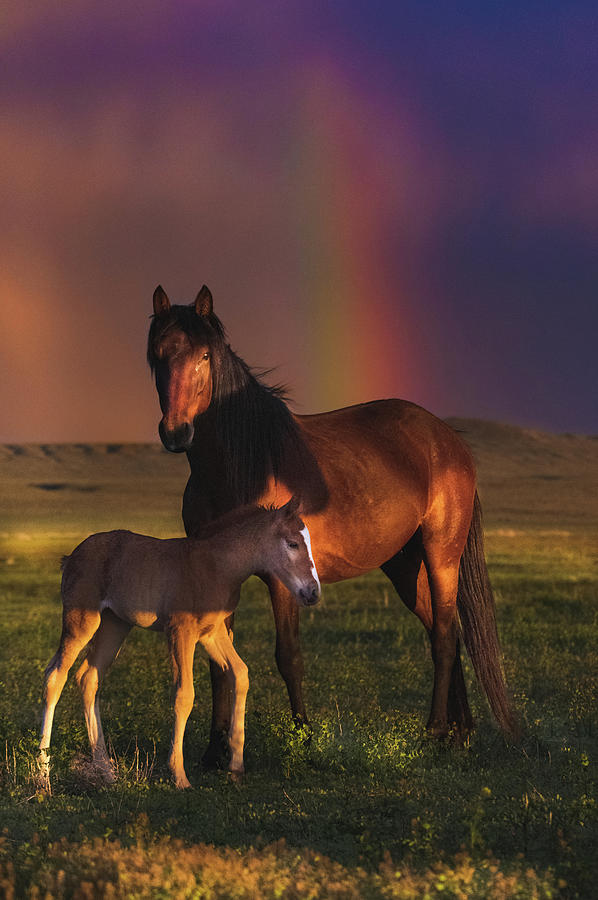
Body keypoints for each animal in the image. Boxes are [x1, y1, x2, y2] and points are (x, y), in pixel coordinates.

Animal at [38, 497, 320, 787]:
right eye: (293, 543)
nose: (313, 592)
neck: (217, 565)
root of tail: (71, 557)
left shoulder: (212, 632)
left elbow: (240, 674)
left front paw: (236, 766)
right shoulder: (180, 631)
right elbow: (184, 695)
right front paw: (179, 775)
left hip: (115, 624)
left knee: (88, 677)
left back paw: (105, 770)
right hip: (81, 620)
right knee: (55, 675)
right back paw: (43, 775)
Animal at [147, 284, 517, 765]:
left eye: (205, 356)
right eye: (156, 354)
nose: (176, 433)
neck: (236, 469)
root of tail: (449, 440)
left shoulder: (283, 578)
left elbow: (289, 656)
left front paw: (303, 740)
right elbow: (217, 663)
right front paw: (214, 751)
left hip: (441, 555)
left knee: (444, 636)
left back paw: (435, 731)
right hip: (405, 565)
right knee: (445, 629)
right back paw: (459, 733)